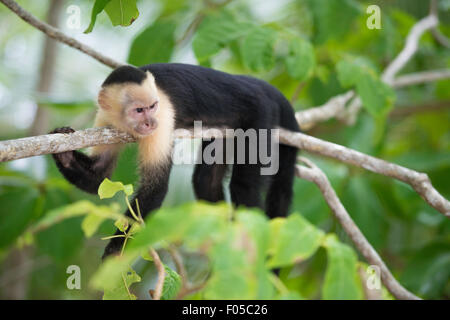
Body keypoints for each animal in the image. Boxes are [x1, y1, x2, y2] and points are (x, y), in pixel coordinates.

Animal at [51, 63, 300, 258]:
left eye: (152, 107)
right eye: (138, 110)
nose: (150, 123)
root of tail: (259, 85)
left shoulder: (163, 116)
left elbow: (156, 187)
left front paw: (116, 248)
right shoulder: (105, 118)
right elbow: (99, 177)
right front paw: (63, 151)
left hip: (260, 112)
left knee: (243, 187)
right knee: (206, 180)